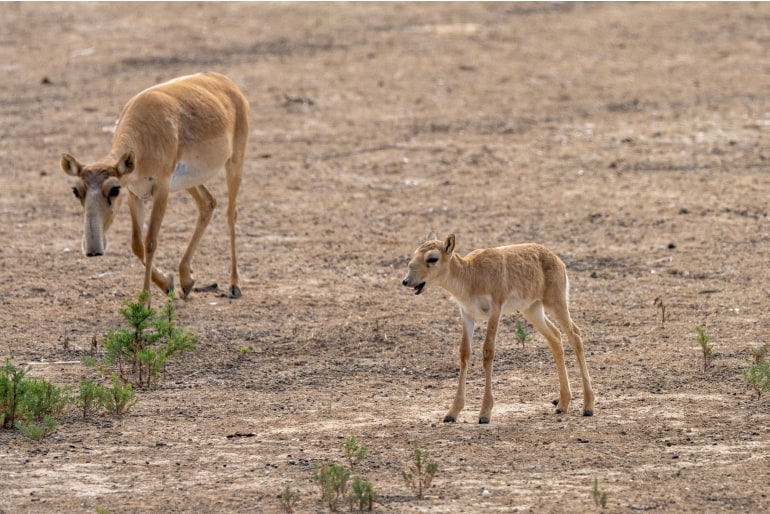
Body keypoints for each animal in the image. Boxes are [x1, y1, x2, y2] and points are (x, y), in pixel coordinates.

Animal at [63, 72, 249, 304]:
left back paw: (234, 285)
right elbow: (137, 245)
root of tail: (227, 82)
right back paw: (186, 280)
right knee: (208, 203)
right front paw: (168, 284)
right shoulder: (135, 193)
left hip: (235, 162)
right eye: (76, 190)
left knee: (231, 213)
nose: (93, 250)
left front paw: (145, 300)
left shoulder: (161, 189)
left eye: (114, 189)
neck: (143, 138)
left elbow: (151, 241)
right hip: (189, 182)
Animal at [402, 234, 592, 422]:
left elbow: (488, 352)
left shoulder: (495, 310)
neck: (471, 274)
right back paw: (562, 404)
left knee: (574, 335)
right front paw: (452, 413)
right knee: (555, 337)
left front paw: (485, 413)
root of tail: (557, 259)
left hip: (556, 302)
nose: (406, 281)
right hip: (532, 309)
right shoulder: (466, 314)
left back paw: (588, 407)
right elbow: (464, 353)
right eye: (415, 255)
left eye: (432, 258)